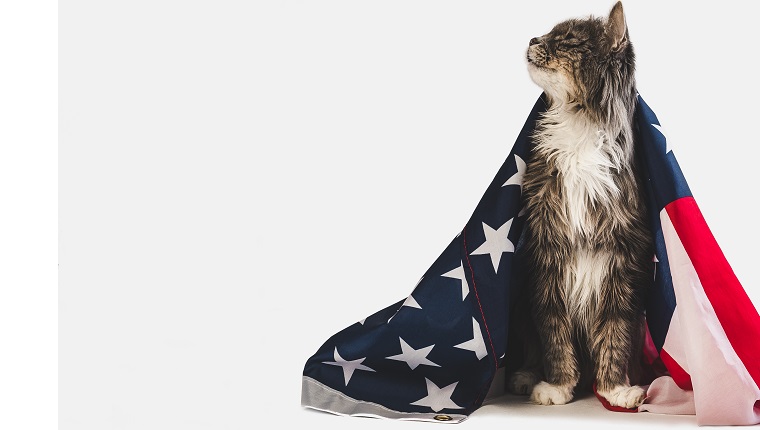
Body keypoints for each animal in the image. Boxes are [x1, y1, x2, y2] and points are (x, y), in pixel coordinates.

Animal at [504, 1, 652, 408]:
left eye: (567, 40)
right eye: (548, 34)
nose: (532, 39)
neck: (579, 126)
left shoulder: (623, 265)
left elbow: (615, 336)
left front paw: (616, 389)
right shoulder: (547, 259)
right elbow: (554, 335)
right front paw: (557, 386)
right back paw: (524, 376)